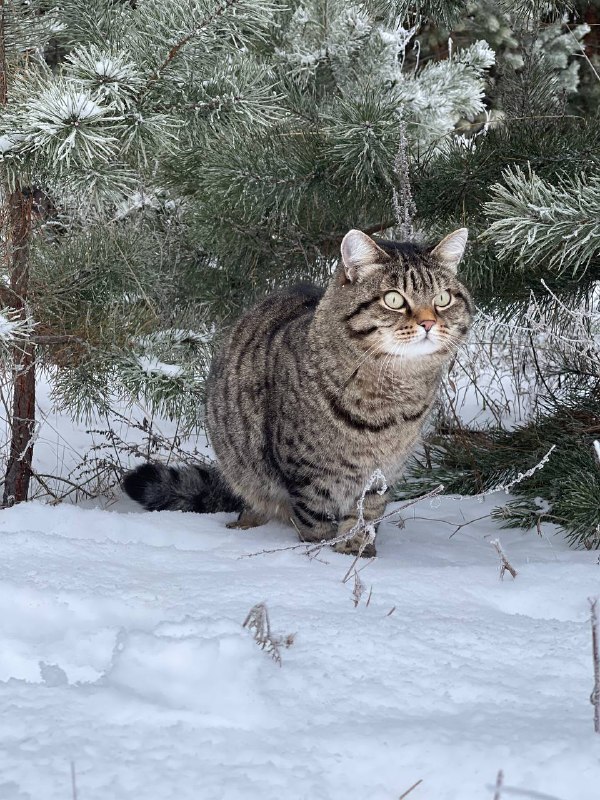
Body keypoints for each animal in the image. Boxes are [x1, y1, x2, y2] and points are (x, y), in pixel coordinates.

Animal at [124, 228, 474, 556]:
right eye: (394, 299)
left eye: (443, 299)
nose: (428, 323)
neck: (391, 395)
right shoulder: (308, 474)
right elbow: (316, 521)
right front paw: (318, 555)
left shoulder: (380, 475)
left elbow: (365, 517)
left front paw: (356, 550)